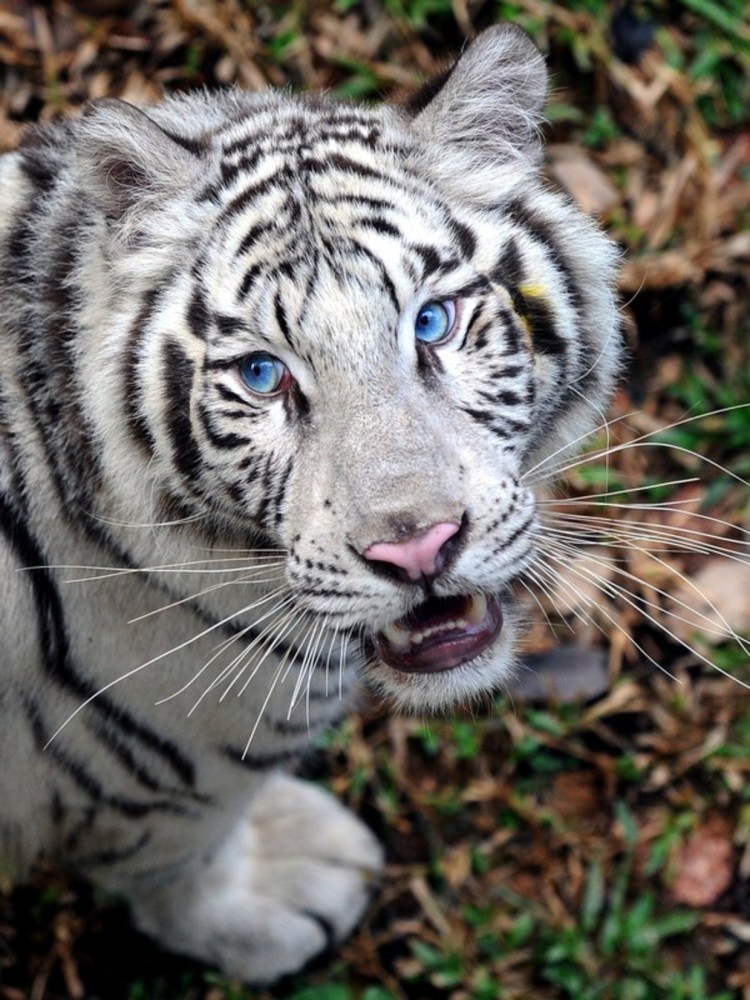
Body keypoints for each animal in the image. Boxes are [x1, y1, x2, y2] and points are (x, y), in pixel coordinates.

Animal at [0, 24, 620, 984]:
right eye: (264, 375)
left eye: (432, 322)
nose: (417, 548)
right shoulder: (171, 774)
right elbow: (183, 864)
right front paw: (280, 894)